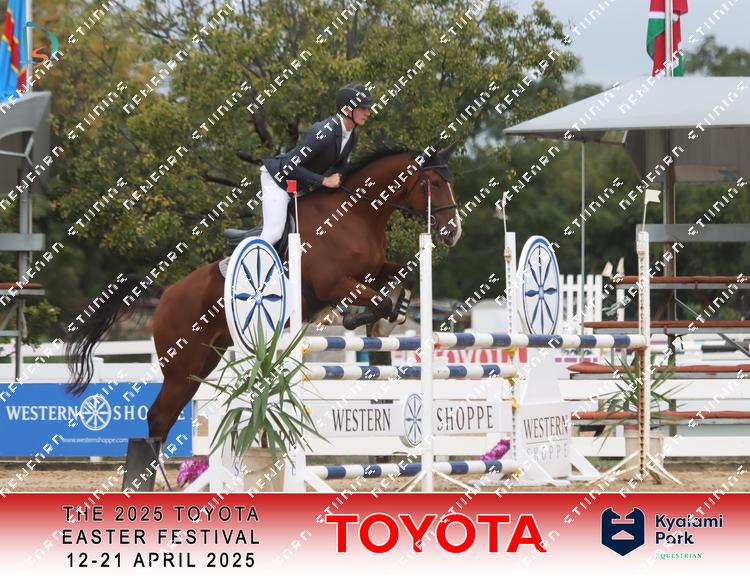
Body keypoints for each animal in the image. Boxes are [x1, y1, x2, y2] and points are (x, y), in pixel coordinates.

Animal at [64, 144, 461, 443]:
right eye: (434, 184)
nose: (454, 232)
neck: (356, 215)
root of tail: (165, 293)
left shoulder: (371, 272)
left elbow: (404, 275)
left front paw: (396, 314)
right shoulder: (334, 283)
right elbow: (375, 300)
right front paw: (358, 318)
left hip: (204, 362)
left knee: (165, 415)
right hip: (181, 366)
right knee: (159, 417)